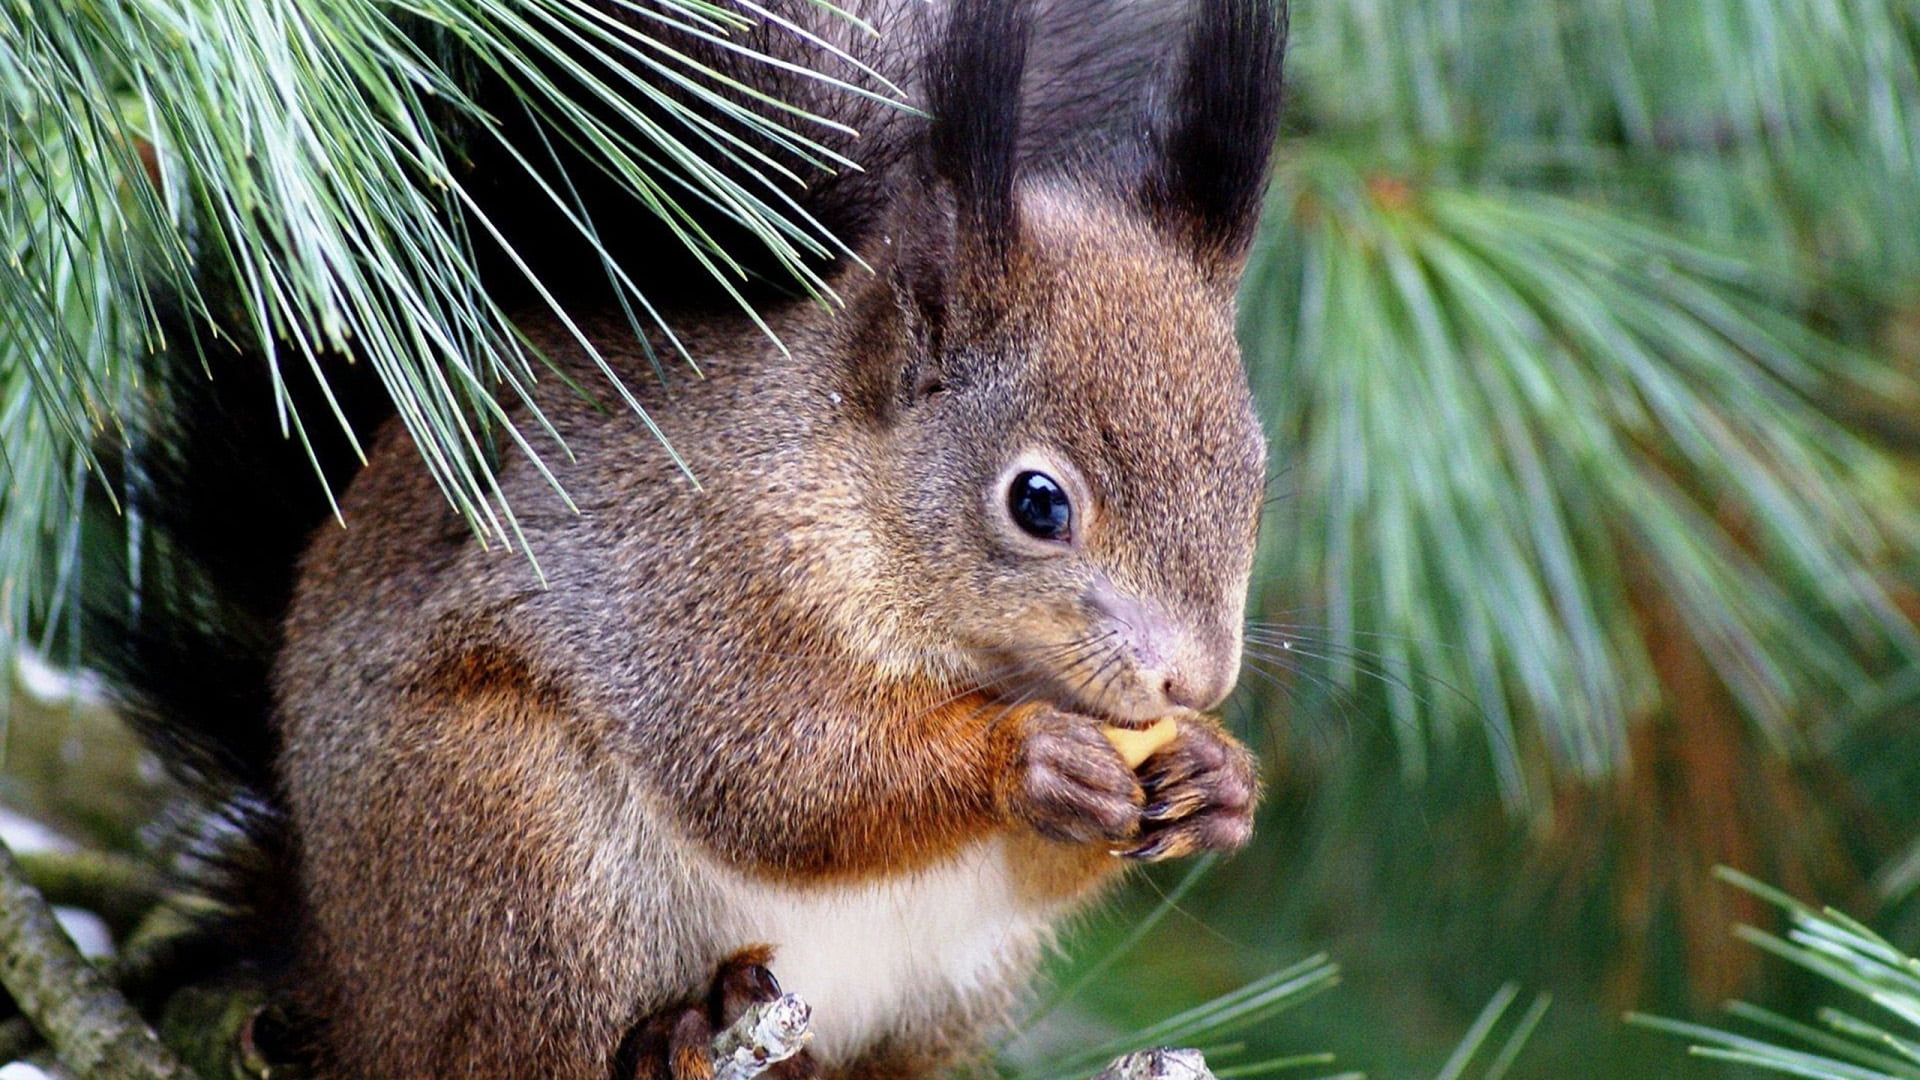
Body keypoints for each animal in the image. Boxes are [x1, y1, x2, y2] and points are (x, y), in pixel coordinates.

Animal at [87, 0, 1288, 1077]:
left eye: (1256, 479)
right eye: (1038, 503)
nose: (1196, 681)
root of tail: (337, 975)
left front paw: (1219, 781)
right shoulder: (696, 587)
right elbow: (779, 774)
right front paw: (1027, 755)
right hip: (511, 842)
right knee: (519, 1050)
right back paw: (665, 1043)